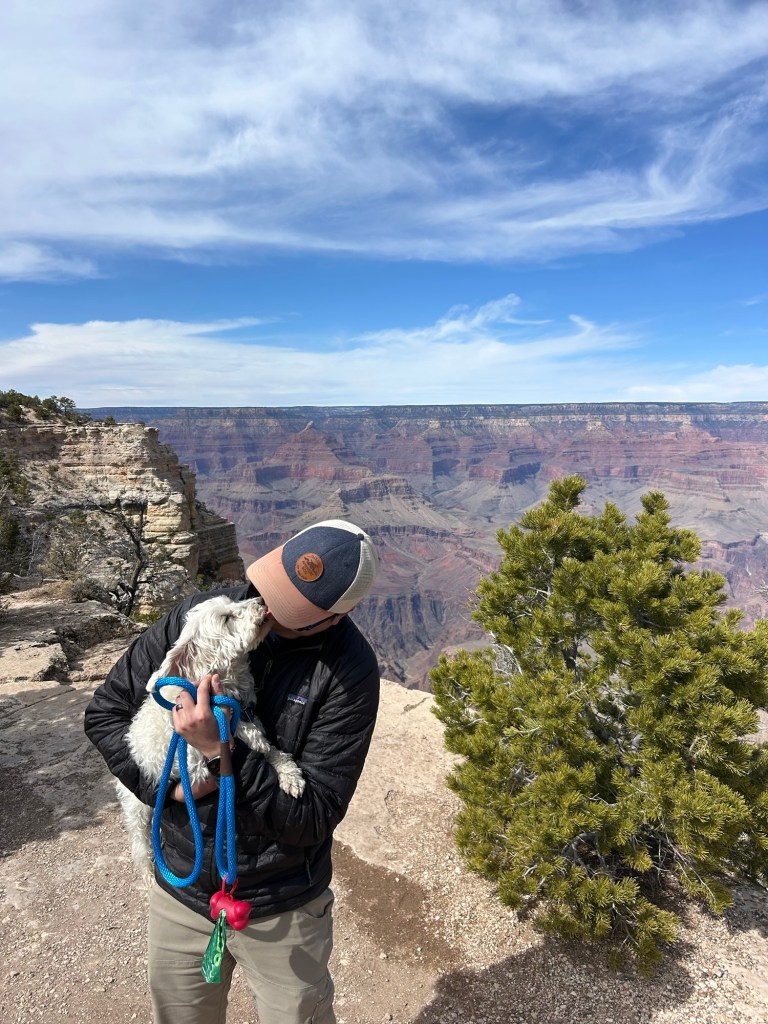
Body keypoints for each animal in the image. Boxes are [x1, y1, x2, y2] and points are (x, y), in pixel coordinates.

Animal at [115, 594, 305, 883]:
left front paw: (289, 774)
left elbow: (270, 750)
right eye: (226, 618)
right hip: (136, 807)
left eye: (234, 603)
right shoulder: (193, 763)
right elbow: (241, 739)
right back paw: (147, 873)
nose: (261, 600)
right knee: (140, 844)